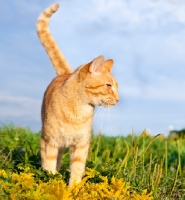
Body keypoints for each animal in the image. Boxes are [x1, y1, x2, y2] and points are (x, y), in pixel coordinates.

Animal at [36, 3, 119, 187]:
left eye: (116, 87)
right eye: (108, 86)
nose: (118, 99)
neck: (79, 112)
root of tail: (64, 74)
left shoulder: (81, 145)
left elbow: (77, 170)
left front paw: (72, 189)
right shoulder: (50, 142)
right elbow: (49, 166)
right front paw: (52, 185)